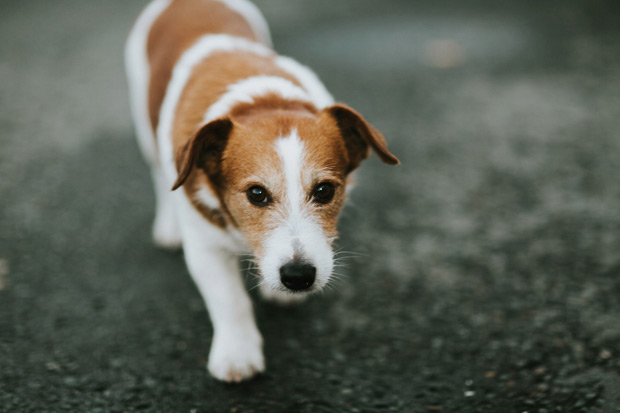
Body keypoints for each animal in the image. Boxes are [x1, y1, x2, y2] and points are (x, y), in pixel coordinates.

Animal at [124, 0, 398, 382]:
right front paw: (237, 354)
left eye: (325, 190)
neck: (262, 102)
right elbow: (229, 300)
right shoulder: (205, 247)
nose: (298, 277)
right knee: (156, 171)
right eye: (256, 194)